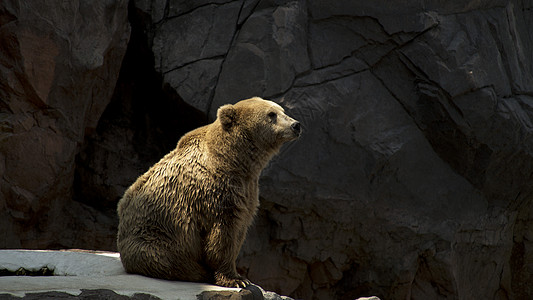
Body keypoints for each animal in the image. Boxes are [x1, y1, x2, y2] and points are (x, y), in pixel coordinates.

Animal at [116, 96, 300, 288]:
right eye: (271, 114)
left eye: (282, 110)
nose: (296, 125)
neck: (236, 160)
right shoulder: (216, 192)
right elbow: (223, 235)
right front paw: (236, 279)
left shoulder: (248, 189)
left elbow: (240, 228)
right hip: (155, 237)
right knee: (168, 260)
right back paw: (198, 272)